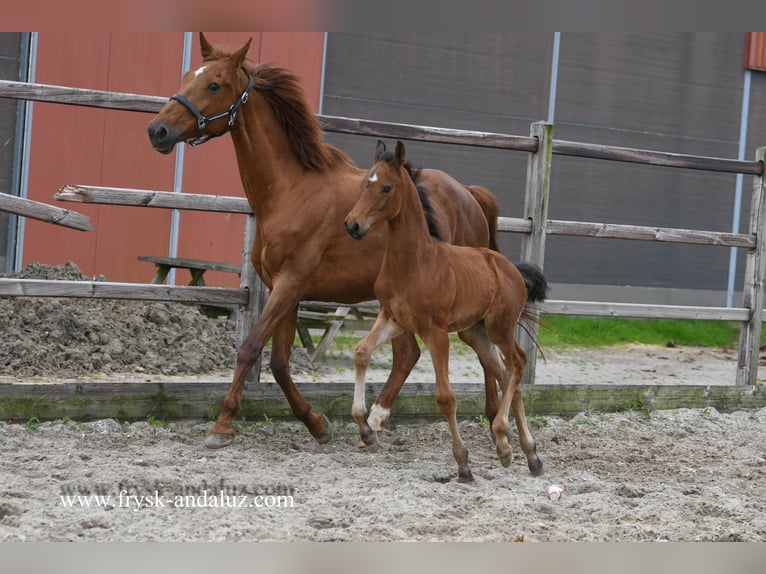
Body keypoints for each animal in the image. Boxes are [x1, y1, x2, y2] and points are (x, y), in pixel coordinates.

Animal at [148, 33, 504, 450]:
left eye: (214, 85)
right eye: (188, 75)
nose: (157, 131)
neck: (291, 190)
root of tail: (469, 195)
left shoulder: (291, 283)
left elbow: (250, 348)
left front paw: (222, 425)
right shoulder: (284, 289)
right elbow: (279, 364)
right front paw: (317, 424)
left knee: (479, 350)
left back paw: (493, 420)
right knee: (410, 354)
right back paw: (375, 423)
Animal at [344, 142, 548, 484]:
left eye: (386, 187)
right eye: (363, 185)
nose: (353, 224)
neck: (415, 262)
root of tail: (511, 269)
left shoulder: (436, 332)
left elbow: (446, 397)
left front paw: (463, 464)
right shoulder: (393, 319)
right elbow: (361, 352)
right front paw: (367, 431)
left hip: (499, 328)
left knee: (517, 364)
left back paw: (505, 438)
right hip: (475, 333)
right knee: (506, 374)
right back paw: (525, 454)